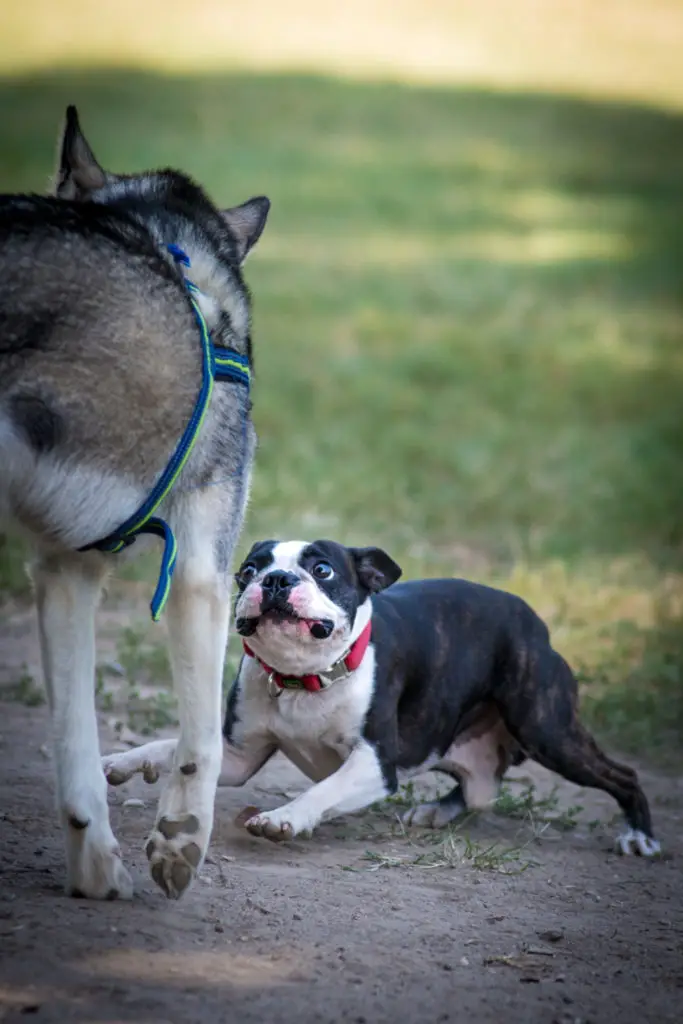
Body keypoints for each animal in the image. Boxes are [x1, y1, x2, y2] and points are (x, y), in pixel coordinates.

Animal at [0, 108, 272, 901]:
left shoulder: (67, 568)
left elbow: (76, 751)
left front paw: (94, 869)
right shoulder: (204, 575)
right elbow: (201, 739)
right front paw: (180, 839)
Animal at [102, 540, 663, 860]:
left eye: (323, 570)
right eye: (248, 570)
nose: (276, 579)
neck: (305, 678)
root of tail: (538, 624)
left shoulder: (375, 763)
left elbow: (324, 790)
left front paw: (286, 818)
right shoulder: (239, 756)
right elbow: (170, 746)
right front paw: (123, 761)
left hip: (546, 727)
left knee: (622, 775)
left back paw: (640, 837)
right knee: (482, 786)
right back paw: (437, 811)